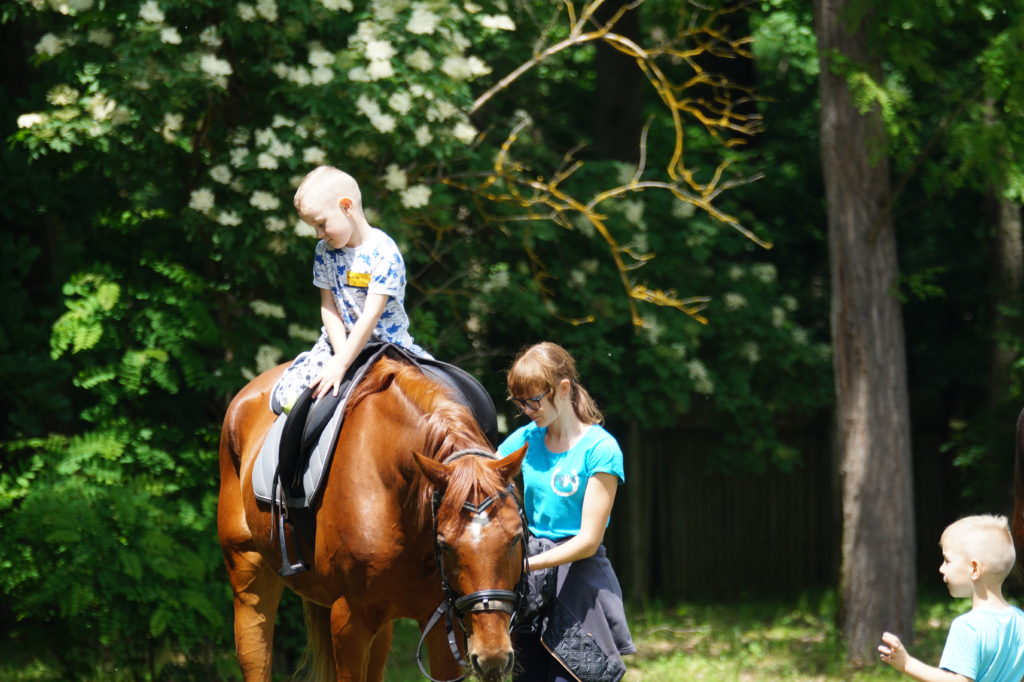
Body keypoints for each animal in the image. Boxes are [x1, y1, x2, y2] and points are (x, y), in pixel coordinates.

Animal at [217, 354, 529, 682]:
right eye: (444, 544)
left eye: (515, 538)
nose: (492, 656)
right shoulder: (349, 619)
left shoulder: (442, 625)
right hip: (249, 576)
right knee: (255, 651)